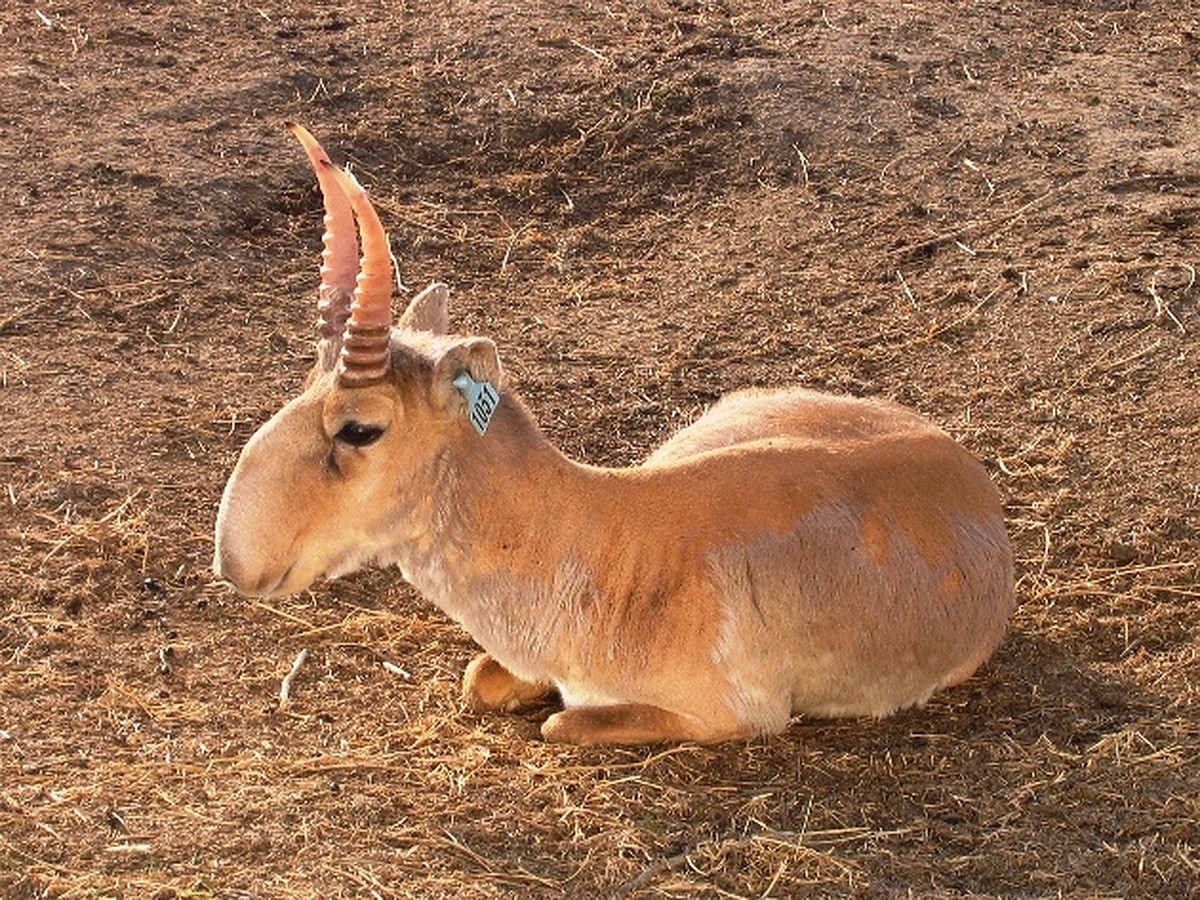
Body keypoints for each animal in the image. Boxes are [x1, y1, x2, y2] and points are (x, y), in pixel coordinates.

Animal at [213, 125, 1012, 748]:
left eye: (361, 426)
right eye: (305, 382)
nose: (236, 561)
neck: (604, 538)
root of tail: (967, 473)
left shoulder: (732, 716)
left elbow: (560, 722)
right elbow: (480, 678)